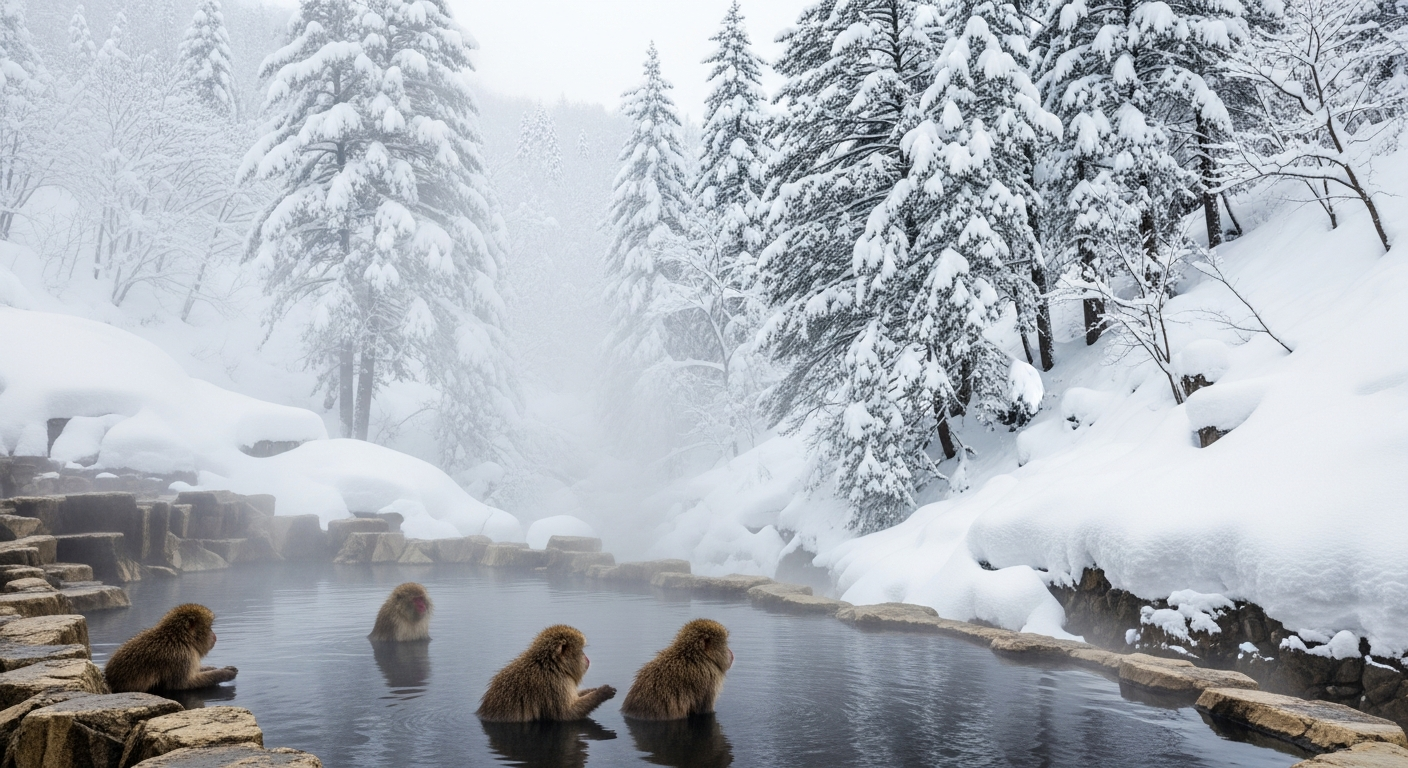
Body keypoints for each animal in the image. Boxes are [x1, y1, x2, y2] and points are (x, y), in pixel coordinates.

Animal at [104, 603, 238, 693]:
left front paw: (214, 668)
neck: (180, 638)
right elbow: (183, 685)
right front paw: (225, 673)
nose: (215, 636)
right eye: (209, 628)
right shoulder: (182, 657)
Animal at [477, 624, 616, 722]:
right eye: (581, 651)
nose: (587, 658)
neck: (550, 665)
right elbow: (567, 715)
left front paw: (594, 690)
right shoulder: (555, 683)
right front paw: (602, 693)